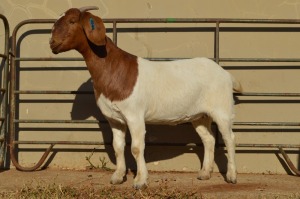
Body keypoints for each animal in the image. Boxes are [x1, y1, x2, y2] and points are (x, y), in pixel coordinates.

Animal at [49, 6, 241, 189]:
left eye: (72, 21)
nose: (52, 43)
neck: (113, 68)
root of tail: (226, 74)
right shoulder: (114, 118)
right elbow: (118, 147)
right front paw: (118, 177)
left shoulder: (134, 115)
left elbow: (136, 147)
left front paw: (140, 181)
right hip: (199, 115)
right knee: (209, 139)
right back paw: (204, 173)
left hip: (222, 109)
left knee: (229, 138)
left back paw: (231, 176)